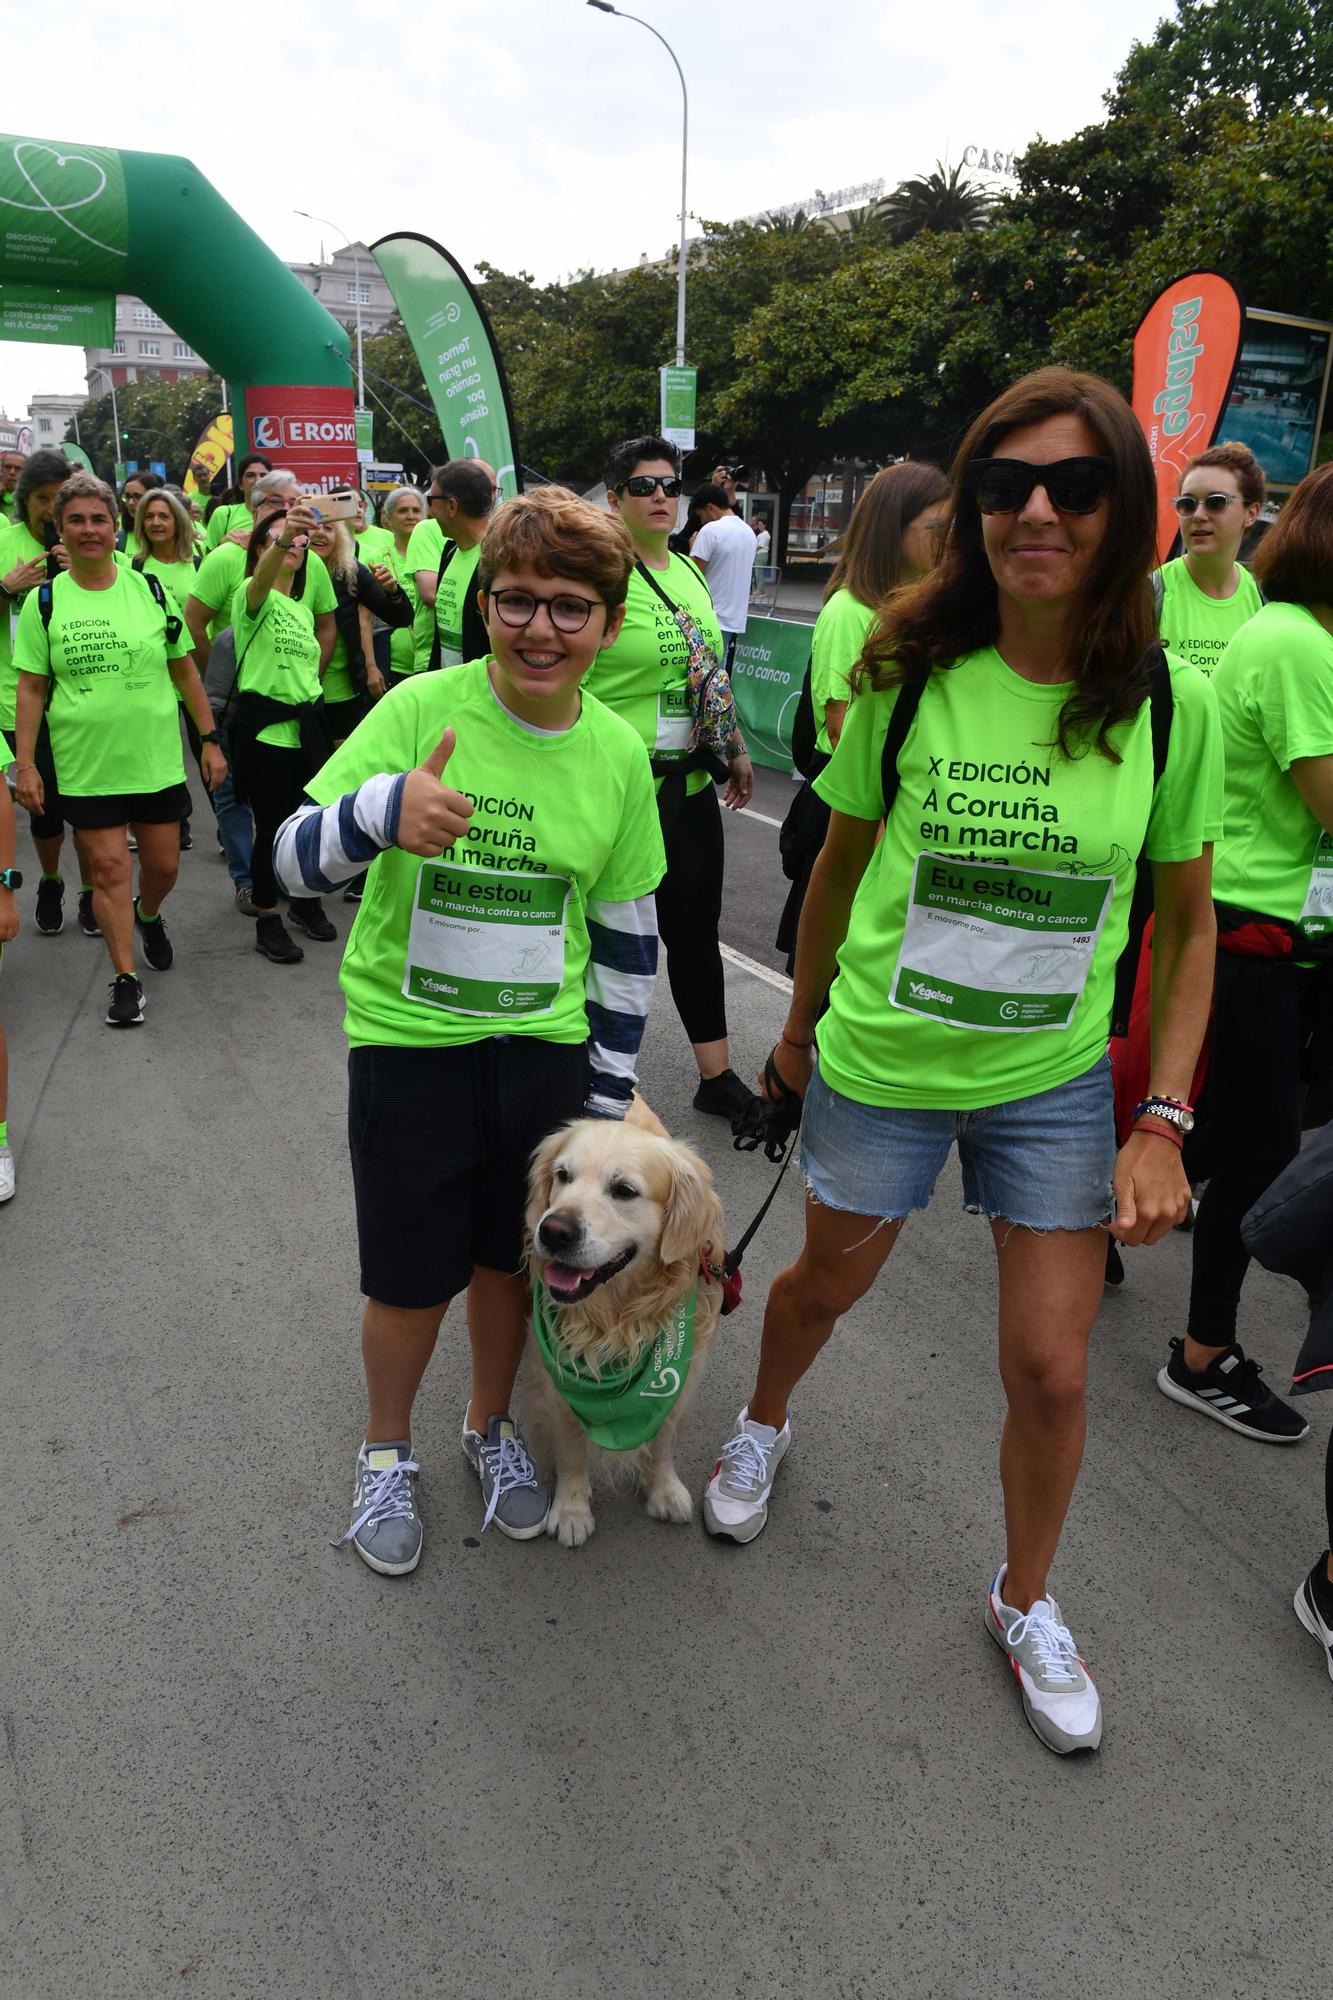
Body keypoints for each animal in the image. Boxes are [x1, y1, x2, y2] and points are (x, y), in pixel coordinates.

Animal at [520, 1112, 728, 1544]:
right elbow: (571, 1452)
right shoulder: (555, 1385)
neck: (616, 1320)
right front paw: (571, 1509)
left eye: (624, 1190)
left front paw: (664, 1488)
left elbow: (663, 1441)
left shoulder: (681, 1377)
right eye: (563, 1175)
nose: (553, 1230)